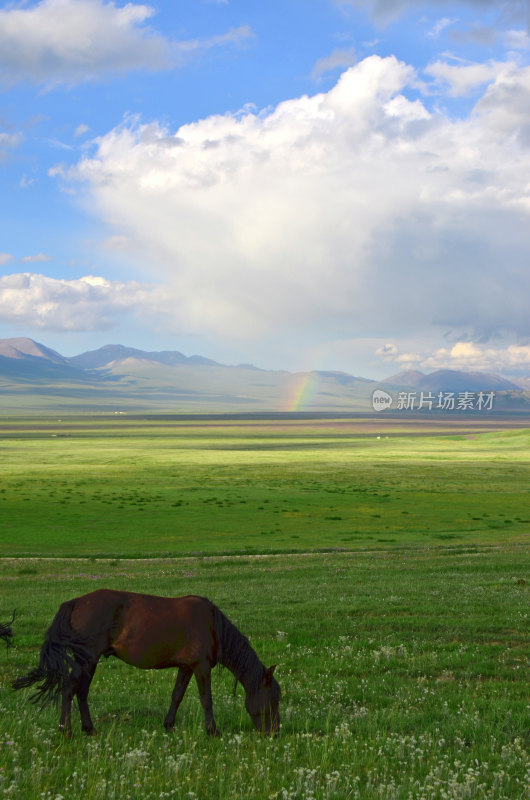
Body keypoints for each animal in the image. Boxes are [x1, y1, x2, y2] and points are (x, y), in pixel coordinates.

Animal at [12, 588, 278, 736]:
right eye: (273, 700)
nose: (274, 733)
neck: (212, 626)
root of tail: (76, 602)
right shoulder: (201, 666)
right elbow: (207, 699)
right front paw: (213, 731)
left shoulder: (186, 666)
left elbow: (177, 695)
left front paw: (169, 725)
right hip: (87, 658)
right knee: (70, 689)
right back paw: (66, 730)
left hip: (88, 660)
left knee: (81, 691)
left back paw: (89, 729)